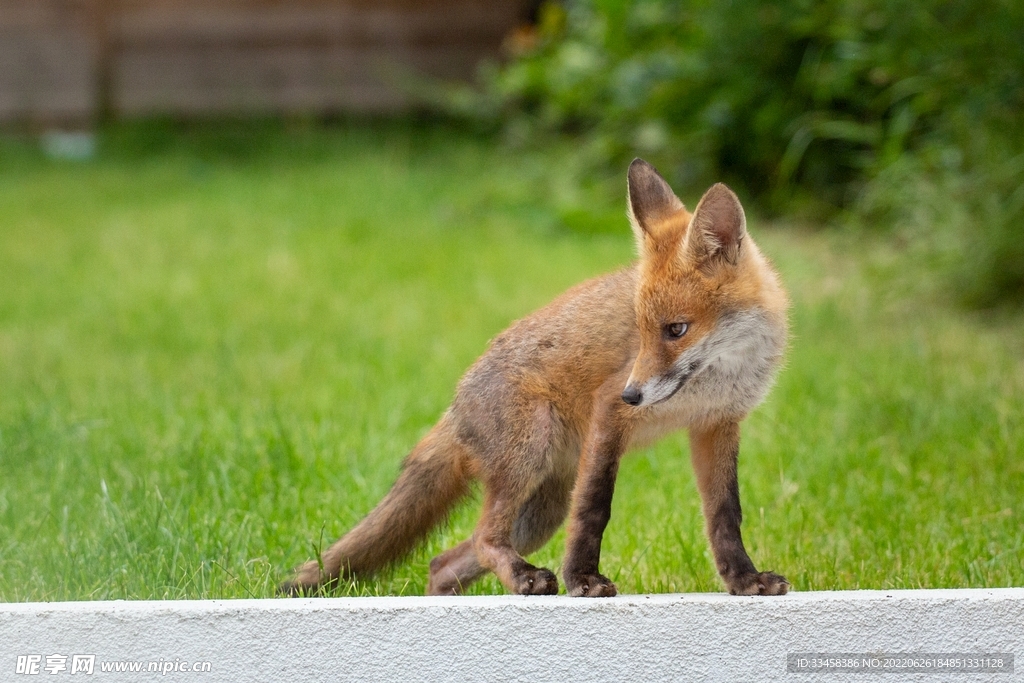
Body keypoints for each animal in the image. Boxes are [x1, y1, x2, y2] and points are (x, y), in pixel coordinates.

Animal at [280, 158, 790, 598]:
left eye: (676, 330)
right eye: (641, 331)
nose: (634, 394)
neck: (721, 373)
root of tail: (455, 406)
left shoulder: (716, 424)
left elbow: (725, 515)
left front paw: (744, 580)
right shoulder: (608, 411)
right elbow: (595, 508)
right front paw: (582, 579)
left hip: (541, 512)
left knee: (443, 561)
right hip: (532, 451)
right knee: (484, 538)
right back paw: (525, 577)